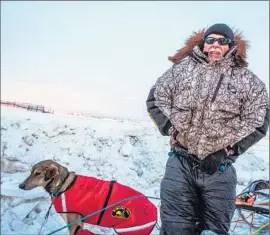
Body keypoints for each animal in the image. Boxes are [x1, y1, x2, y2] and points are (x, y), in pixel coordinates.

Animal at [19, 160, 157, 235]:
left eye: (38, 173)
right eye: (31, 172)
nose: (20, 185)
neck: (63, 185)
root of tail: (153, 207)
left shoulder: (73, 223)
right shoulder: (80, 224)